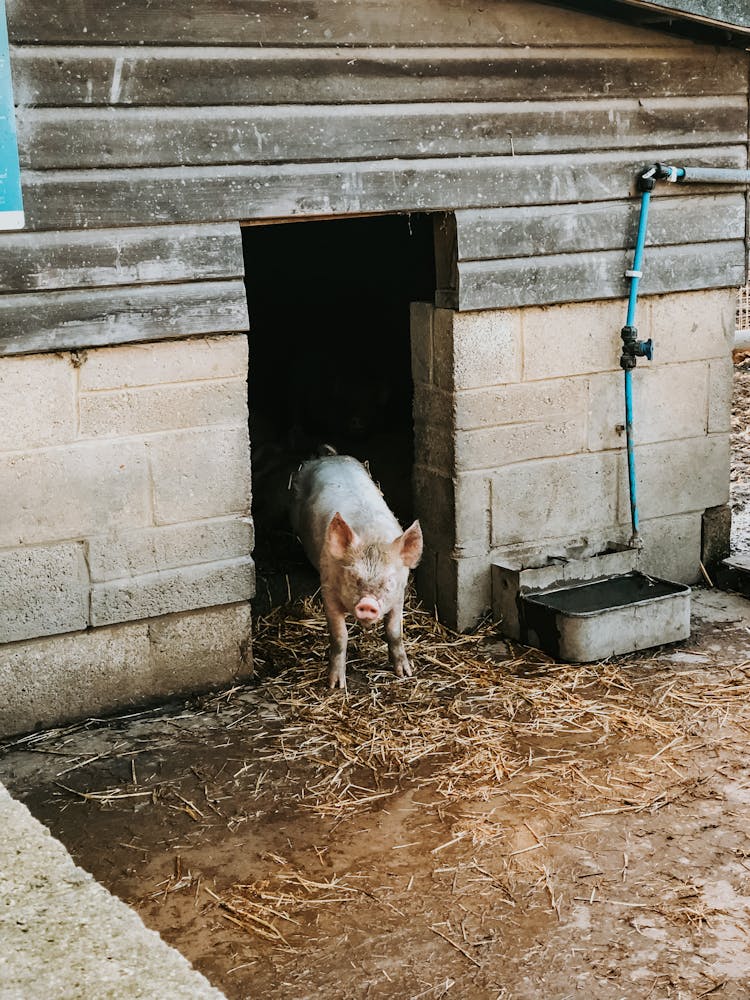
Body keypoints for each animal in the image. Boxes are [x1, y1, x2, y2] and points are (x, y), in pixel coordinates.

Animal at [292, 452, 426, 688]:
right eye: (353, 577)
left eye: (389, 581)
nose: (367, 603)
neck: (372, 537)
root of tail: (329, 456)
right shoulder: (328, 589)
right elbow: (339, 635)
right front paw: (336, 685)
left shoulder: (399, 595)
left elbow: (394, 631)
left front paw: (405, 673)